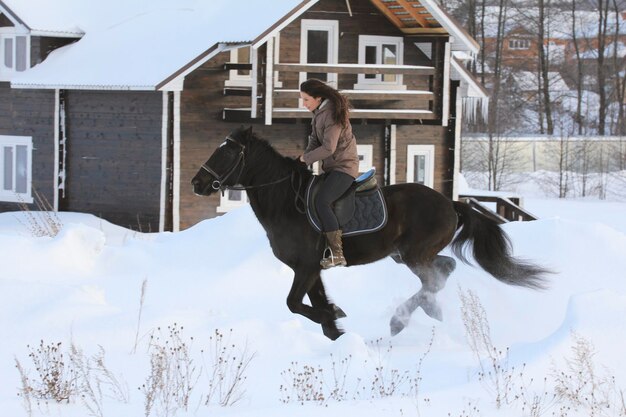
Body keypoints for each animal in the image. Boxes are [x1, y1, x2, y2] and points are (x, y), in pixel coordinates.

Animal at [191, 126, 544, 338]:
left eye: (225, 152)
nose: (197, 183)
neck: (286, 202)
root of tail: (450, 203)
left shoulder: (305, 267)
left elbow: (294, 303)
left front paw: (335, 317)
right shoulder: (313, 270)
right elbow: (318, 310)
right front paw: (337, 328)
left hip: (415, 254)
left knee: (436, 277)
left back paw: (400, 320)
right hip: (408, 255)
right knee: (444, 270)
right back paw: (427, 311)